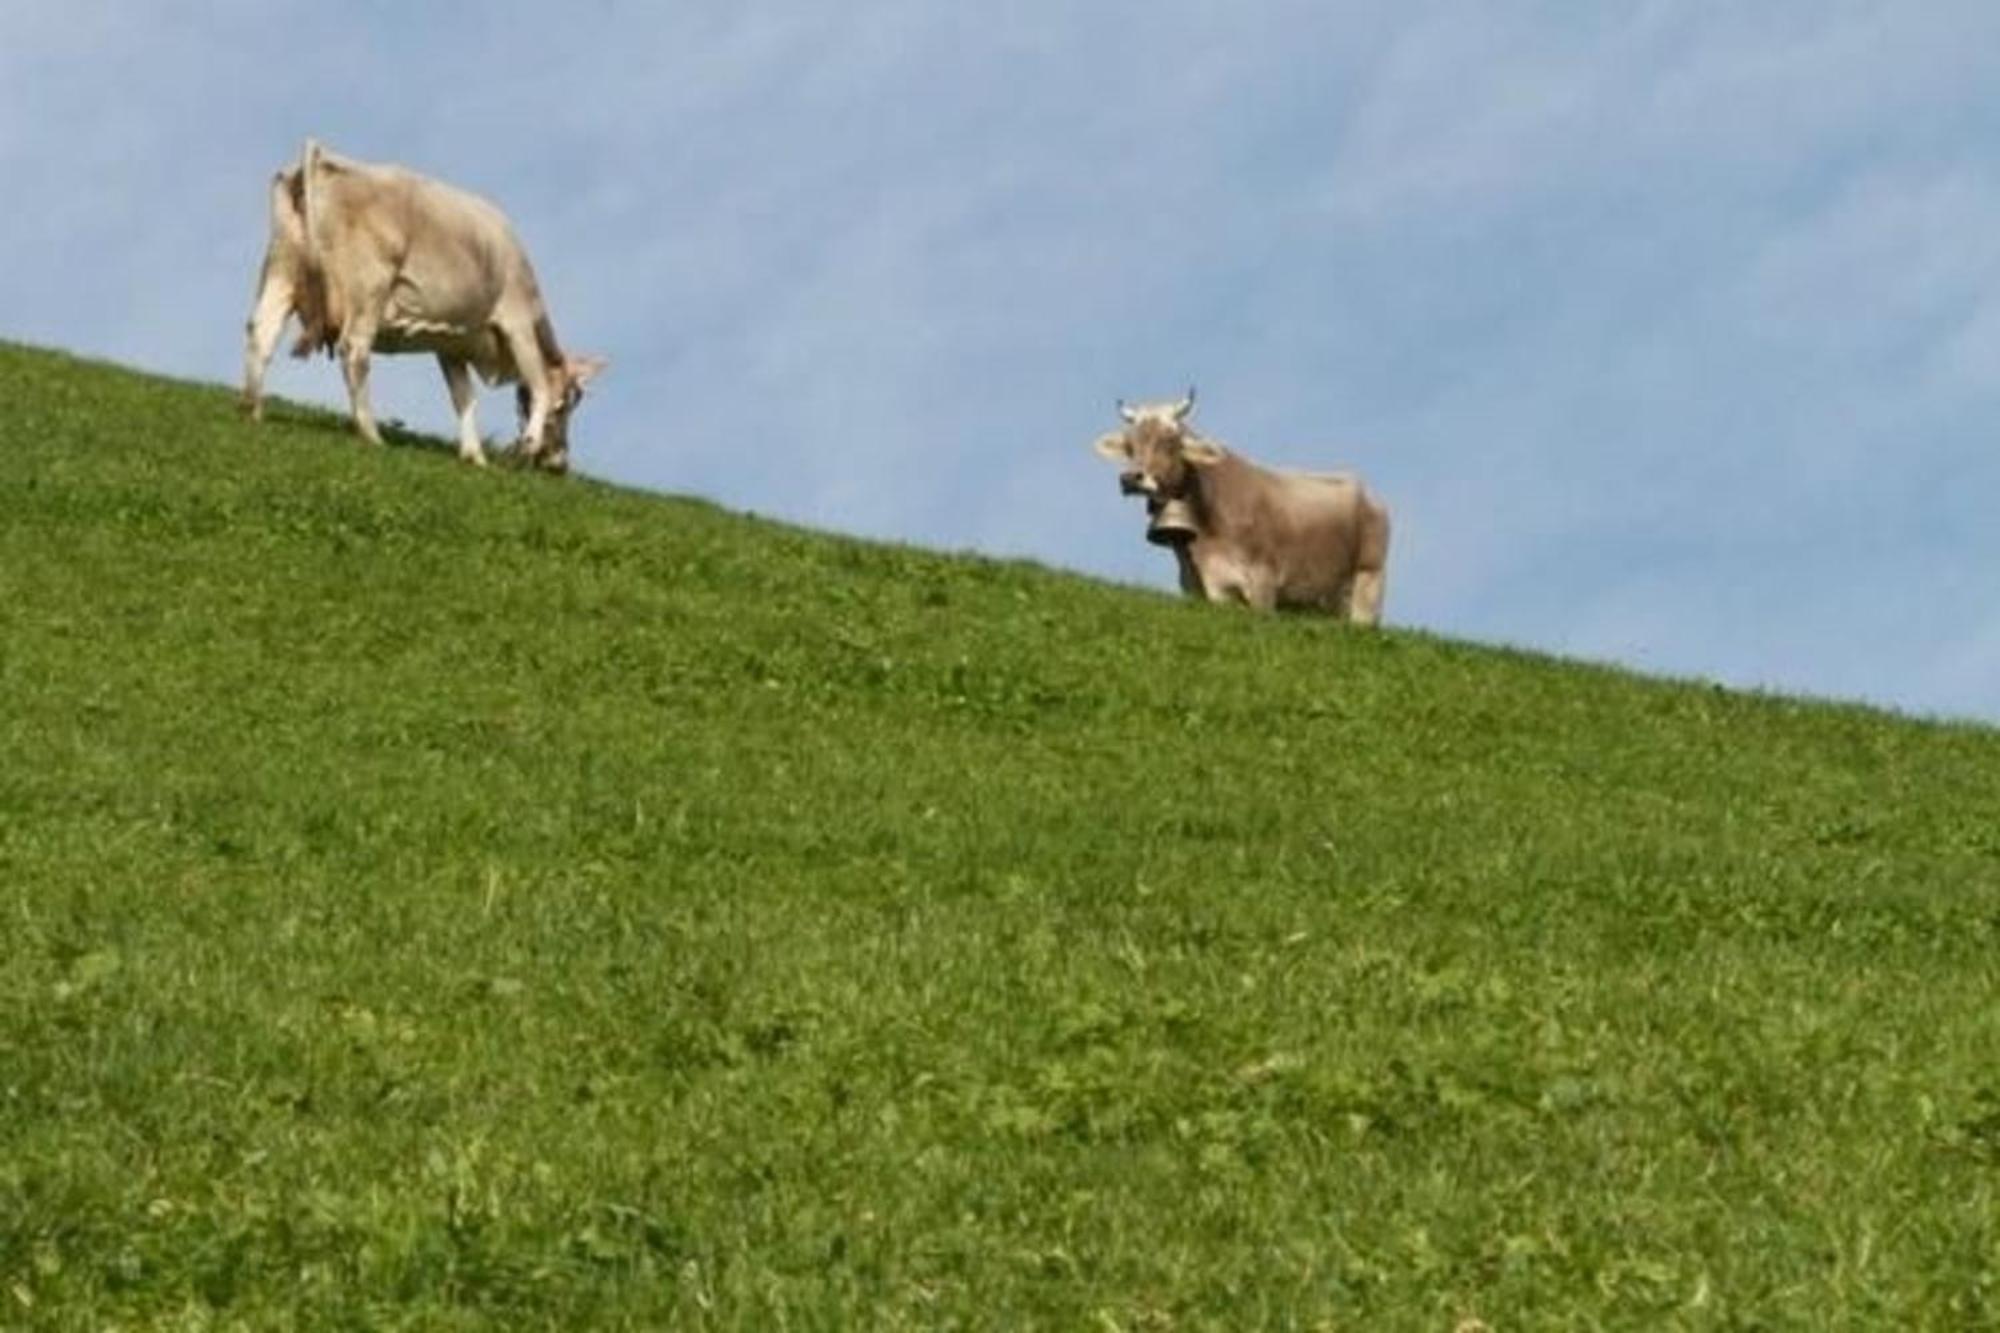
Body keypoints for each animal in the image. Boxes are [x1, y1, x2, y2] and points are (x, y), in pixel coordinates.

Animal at [243, 139, 600, 472]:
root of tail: (326, 157)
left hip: (282, 267)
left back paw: (252, 408)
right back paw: (370, 433)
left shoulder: (452, 344)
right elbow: (538, 384)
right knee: (354, 349)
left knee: (261, 329)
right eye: (565, 405)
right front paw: (527, 445)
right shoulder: (517, 321)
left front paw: (474, 455)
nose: (559, 464)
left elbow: (464, 397)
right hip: (369, 287)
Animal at [1096, 384, 1392, 624]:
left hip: (1368, 583)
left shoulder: (1263, 583)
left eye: (1171, 440)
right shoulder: (1196, 588)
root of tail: (1370, 494)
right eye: (1129, 444)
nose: (1131, 478)